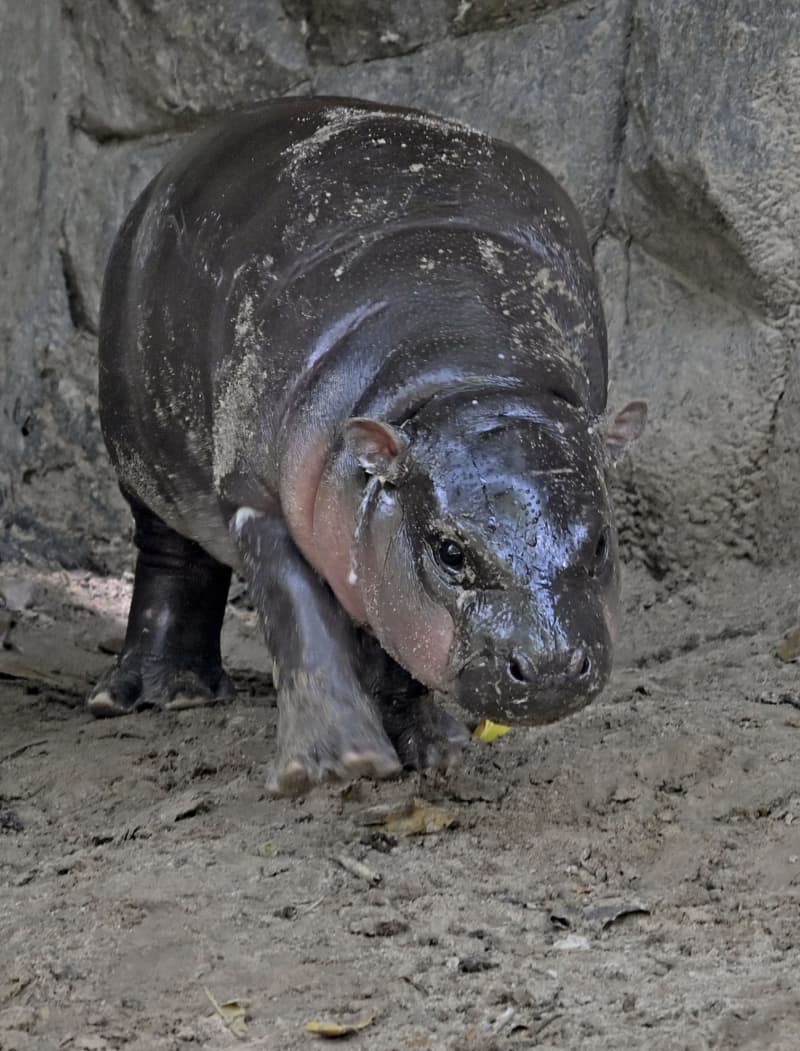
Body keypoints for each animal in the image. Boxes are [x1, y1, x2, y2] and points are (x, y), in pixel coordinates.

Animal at [90, 96, 647, 790]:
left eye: (600, 542)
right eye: (451, 552)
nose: (548, 667)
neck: (463, 373)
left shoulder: (381, 531)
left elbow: (392, 638)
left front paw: (437, 751)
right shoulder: (254, 496)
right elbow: (299, 622)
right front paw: (336, 764)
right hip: (145, 457)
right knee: (169, 558)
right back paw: (159, 694)